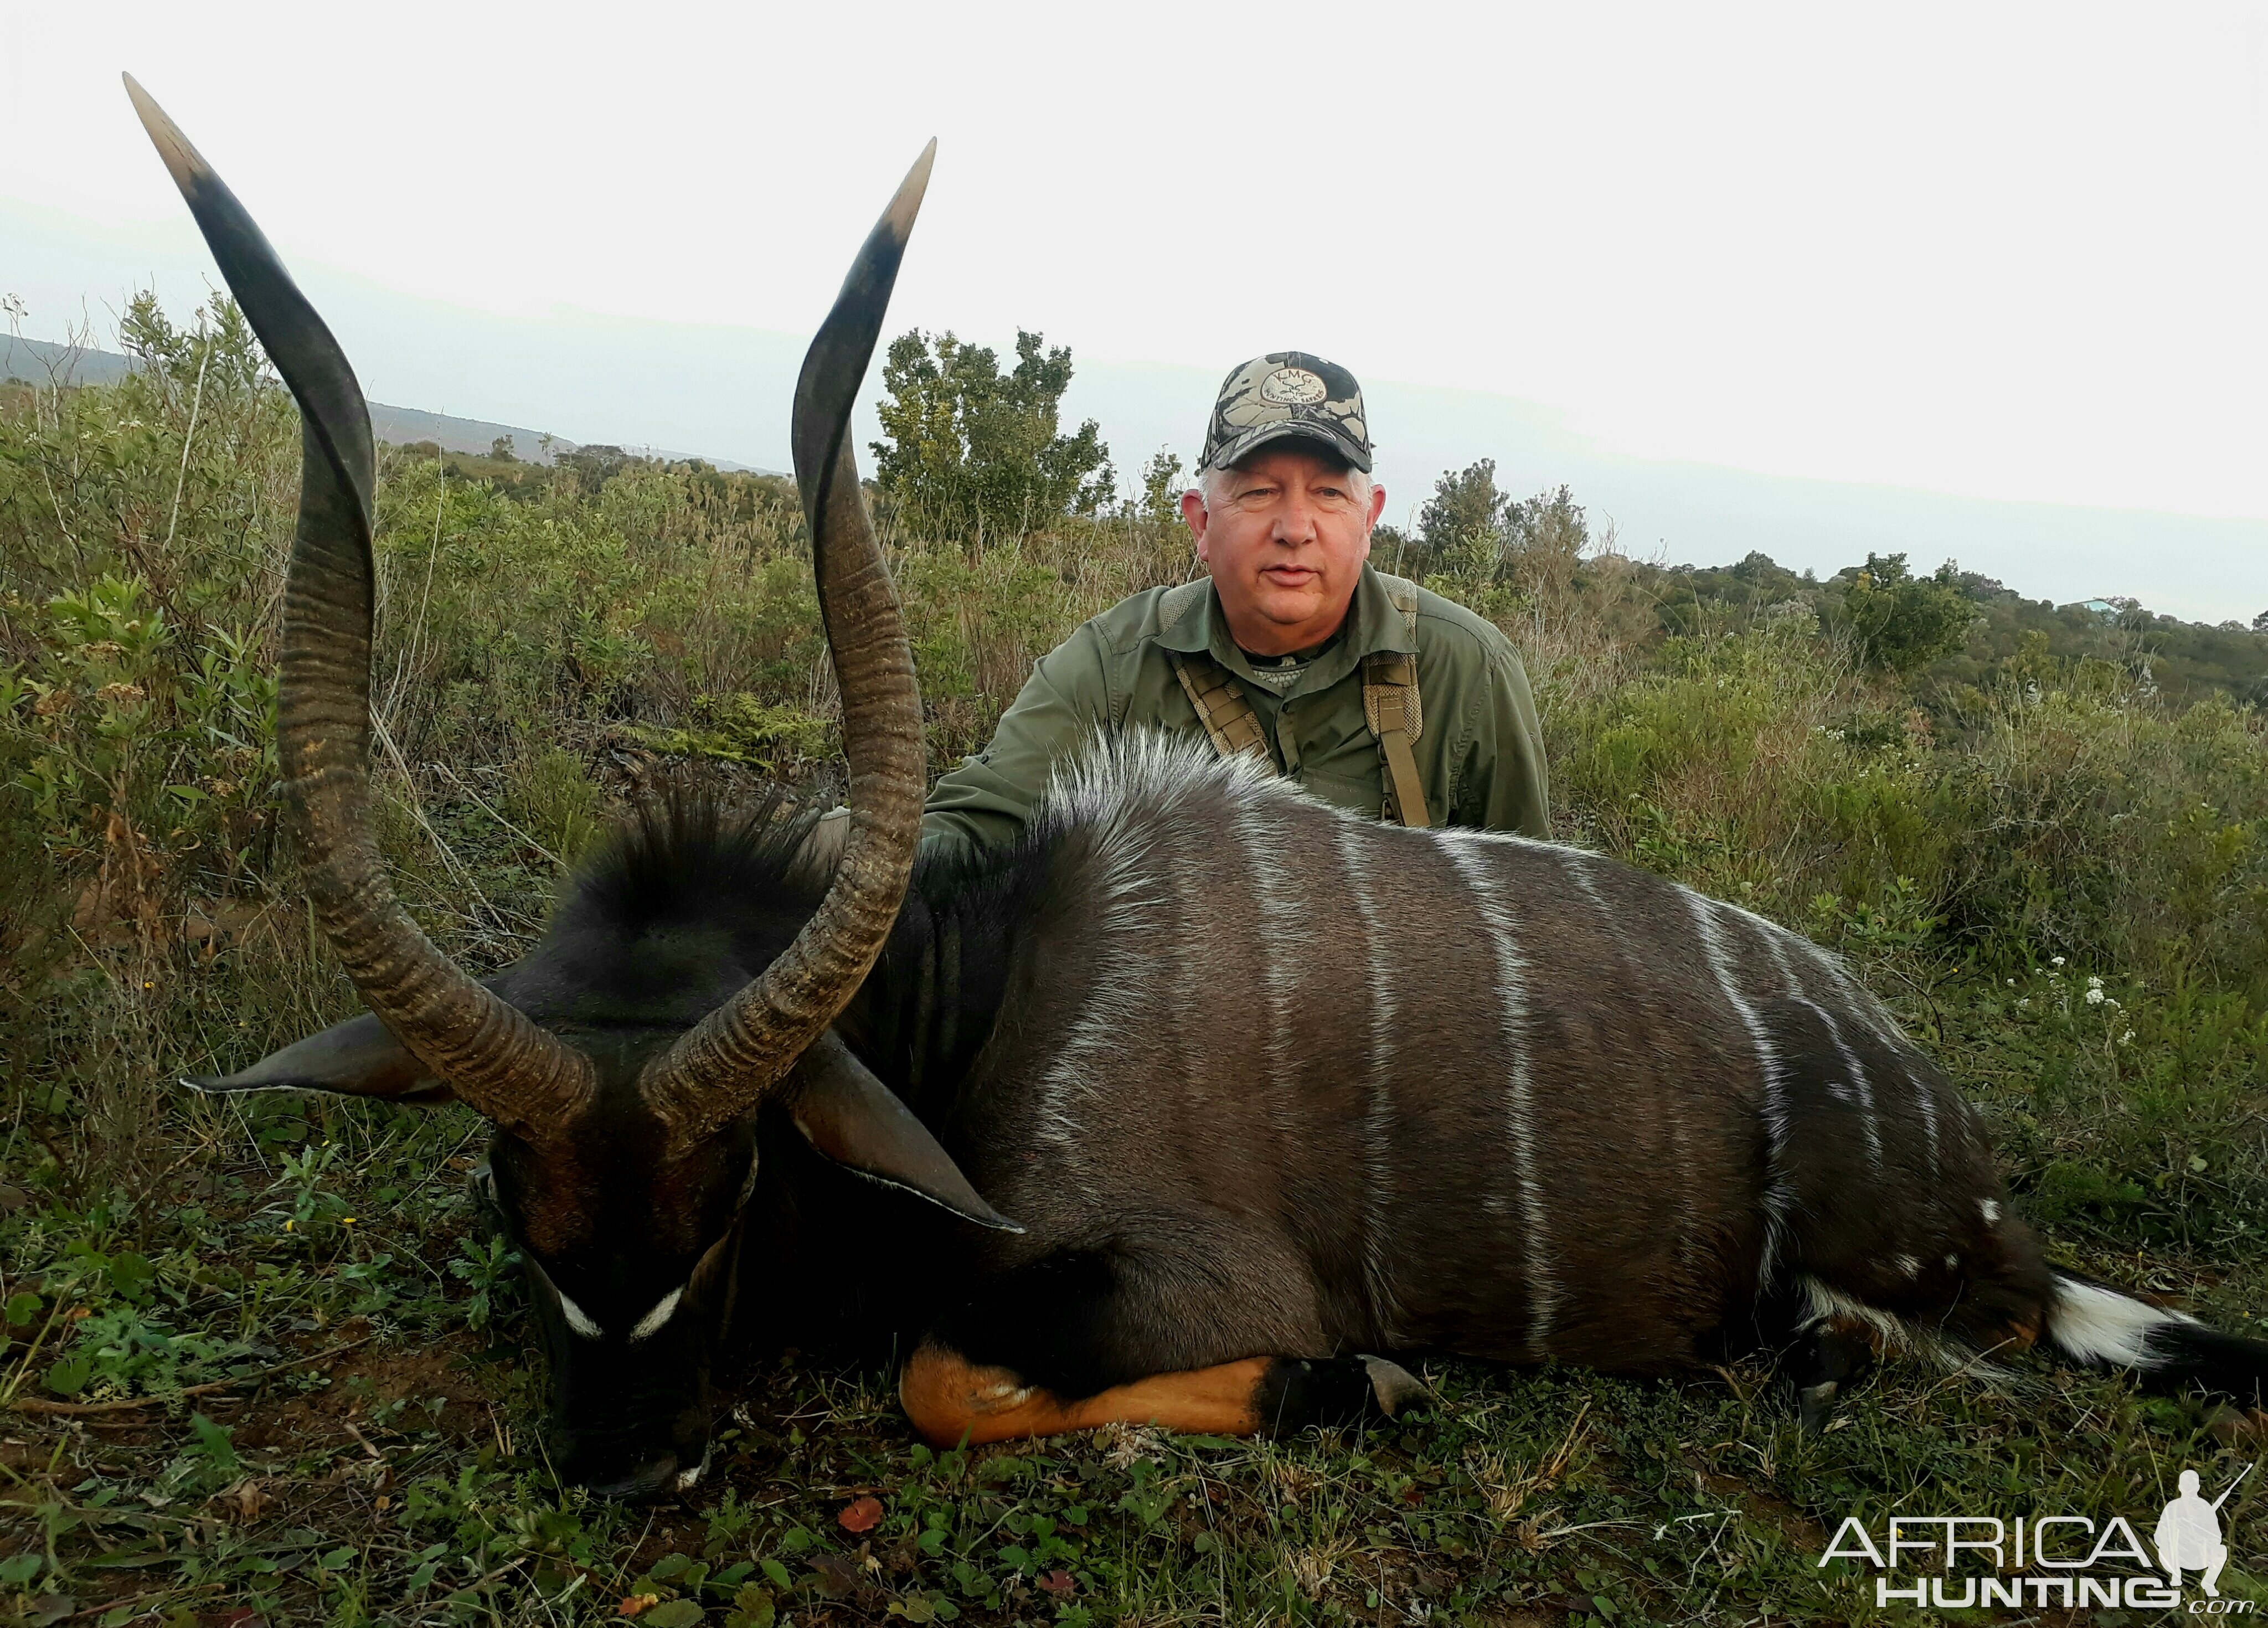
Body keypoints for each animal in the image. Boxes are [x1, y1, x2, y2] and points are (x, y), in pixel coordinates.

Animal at [128, 76, 2268, 1505]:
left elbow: (944, 1375)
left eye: (734, 1189)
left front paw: (1361, 1384)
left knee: (1927, 1346)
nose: (618, 1462)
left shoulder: (1172, 1279)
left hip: (1877, 1285)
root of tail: (1953, 1152)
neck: (993, 1002)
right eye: (512, 1190)